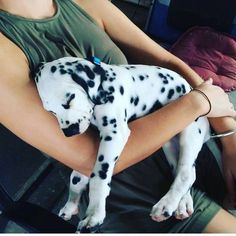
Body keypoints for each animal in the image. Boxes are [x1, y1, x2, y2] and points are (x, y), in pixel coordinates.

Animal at [34, 56, 209, 230]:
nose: (69, 132)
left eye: (70, 99)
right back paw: (182, 204)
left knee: (186, 173)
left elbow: (99, 177)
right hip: (170, 144)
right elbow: (77, 177)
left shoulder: (114, 134)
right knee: (185, 172)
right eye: (51, 111)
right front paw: (71, 204)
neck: (106, 87)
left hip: (189, 136)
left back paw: (166, 205)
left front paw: (94, 213)